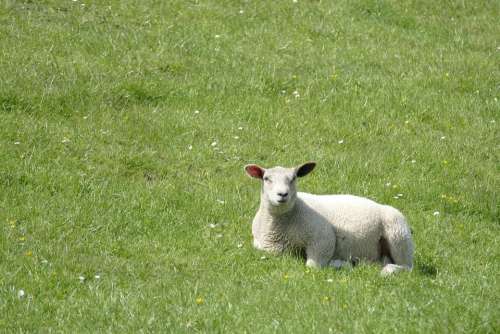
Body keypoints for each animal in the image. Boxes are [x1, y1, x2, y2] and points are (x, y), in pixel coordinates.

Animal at [245, 162, 414, 276]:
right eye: (266, 178)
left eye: (293, 178)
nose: (282, 194)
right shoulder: (261, 245)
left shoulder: (323, 238)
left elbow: (313, 266)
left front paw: (338, 263)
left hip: (398, 233)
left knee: (406, 267)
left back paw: (386, 271)